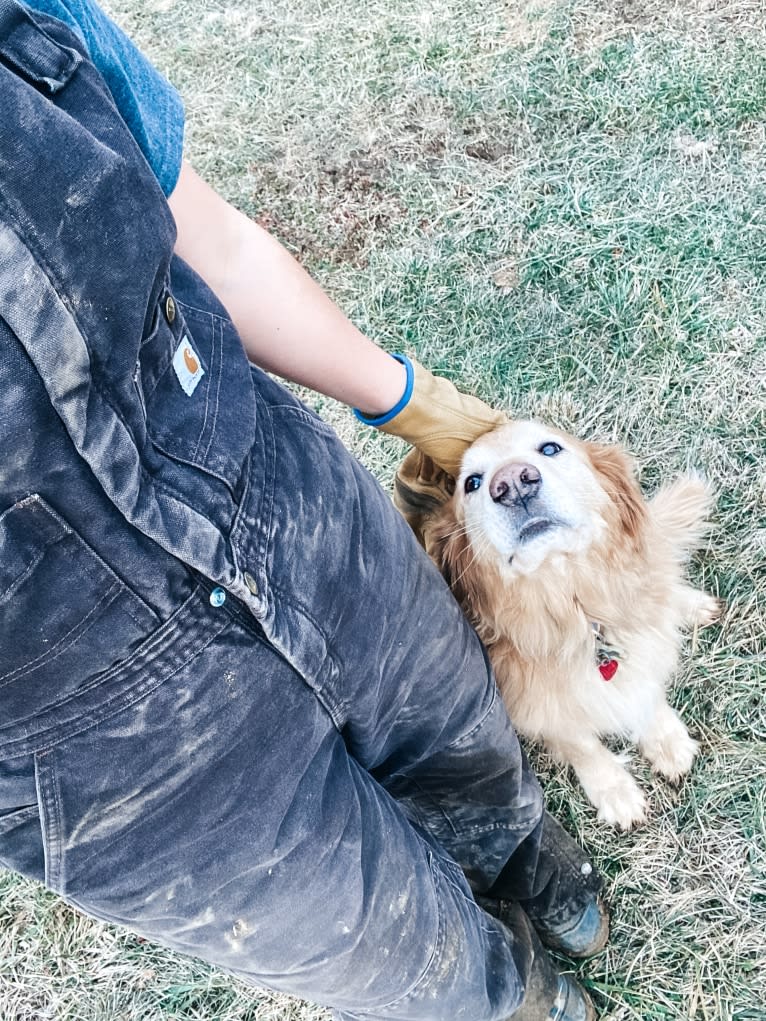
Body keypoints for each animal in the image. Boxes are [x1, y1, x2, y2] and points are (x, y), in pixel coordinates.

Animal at [428, 422, 723, 829]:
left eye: (550, 448)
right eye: (471, 482)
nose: (513, 483)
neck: (579, 613)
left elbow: (647, 692)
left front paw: (665, 740)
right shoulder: (539, 710)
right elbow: (583, 747)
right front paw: (615, 792)